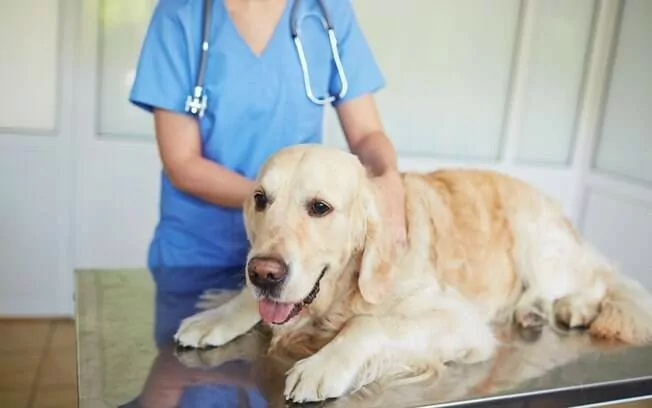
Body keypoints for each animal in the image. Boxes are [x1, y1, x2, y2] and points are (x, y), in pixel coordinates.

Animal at [174, 143, 652, 402]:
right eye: (260, 199)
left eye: (320, 207)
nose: (264, 273)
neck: (341, 291)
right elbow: (246, 305)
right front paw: (215, 316)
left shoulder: (457, 319)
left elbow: (368, 326)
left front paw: (322, 365)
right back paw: (532, 311)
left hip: (536, 237)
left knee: (598, 280)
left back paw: (573, 307)